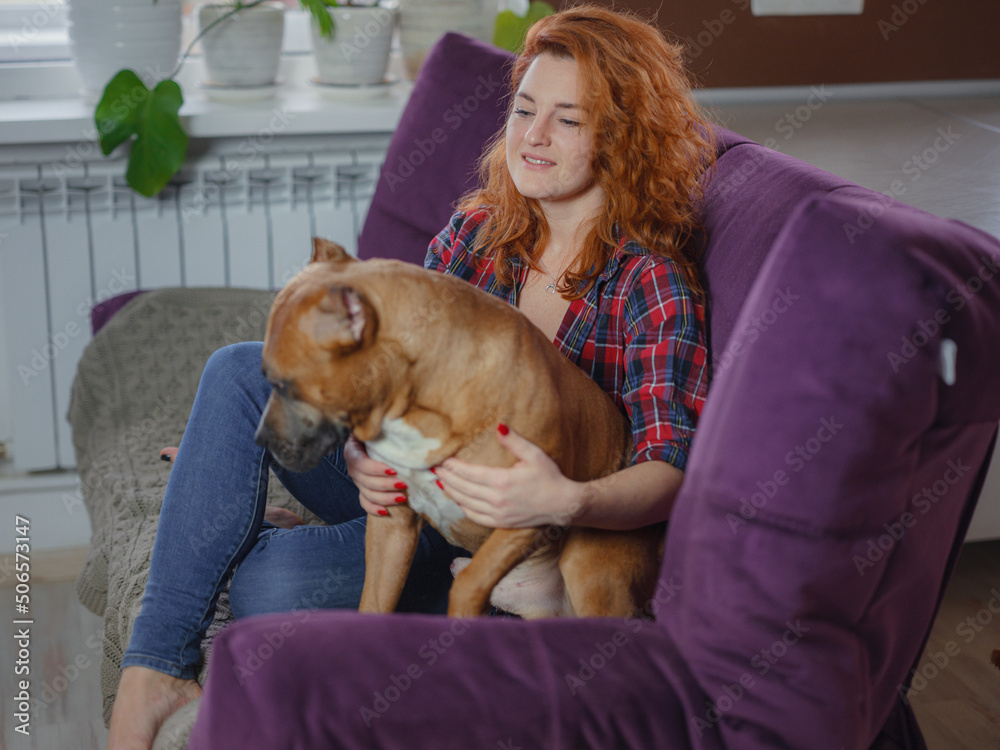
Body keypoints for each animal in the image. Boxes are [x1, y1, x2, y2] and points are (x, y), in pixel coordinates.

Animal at [256, 239, 664, 616]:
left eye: (281, 385)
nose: (260, 439)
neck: (420, 402)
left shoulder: (527, 513)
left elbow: (468, 585)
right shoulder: (391, 529)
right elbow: (373, 603)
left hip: (588, 566)